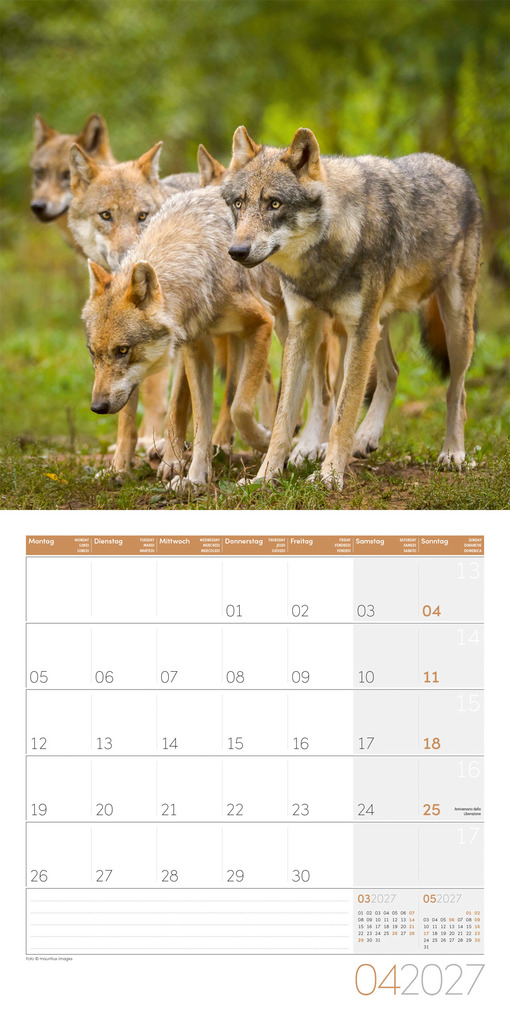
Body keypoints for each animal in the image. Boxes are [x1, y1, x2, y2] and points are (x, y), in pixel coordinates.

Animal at [82, 189, 283, 486]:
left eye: (123, 350)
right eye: (93, 353)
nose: (97, 406)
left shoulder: (261, 323)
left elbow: (239, 408)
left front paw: (263, 438)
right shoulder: (195, 345)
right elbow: (199, 418)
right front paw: (195, 477)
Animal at [221, 126, 482, 488]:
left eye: (274, 203)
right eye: (239, 203)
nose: (237, 251)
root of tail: (456, 169)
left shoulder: (358, 331)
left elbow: (342, 414)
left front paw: (330, 475)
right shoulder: (304, 330)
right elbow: (283, 418)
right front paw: (265, 477)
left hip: (453, 326)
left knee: (457, 391)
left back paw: (453, 452)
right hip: (377, 326)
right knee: (392, 373)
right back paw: (366, 436)